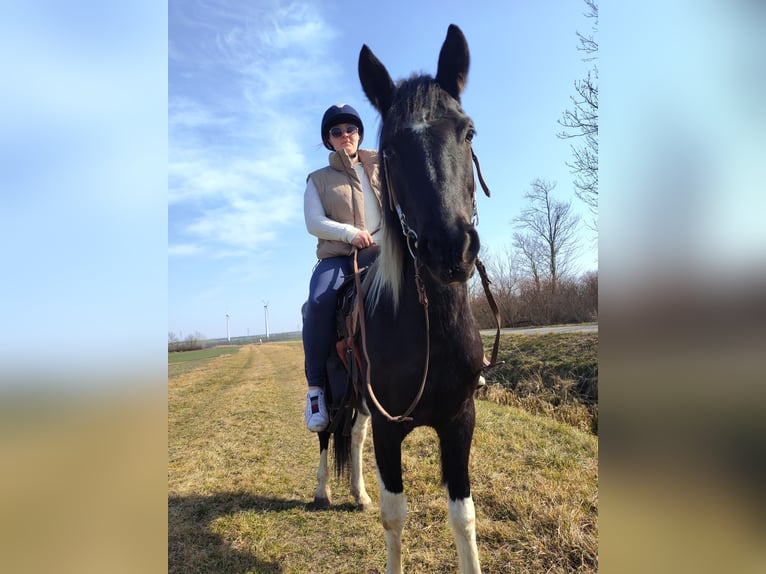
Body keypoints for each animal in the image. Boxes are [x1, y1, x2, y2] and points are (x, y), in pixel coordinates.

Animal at [313, 24, 489, 574]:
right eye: (389, 148)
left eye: (467, 132)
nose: (450, 248)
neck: (429, 331)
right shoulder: (393, 433)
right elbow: (396, 517)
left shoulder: (458, 421)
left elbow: (463, 518)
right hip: (332, 389)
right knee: (328, 434)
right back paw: (325, 490)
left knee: (353, 433)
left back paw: (357, 493)